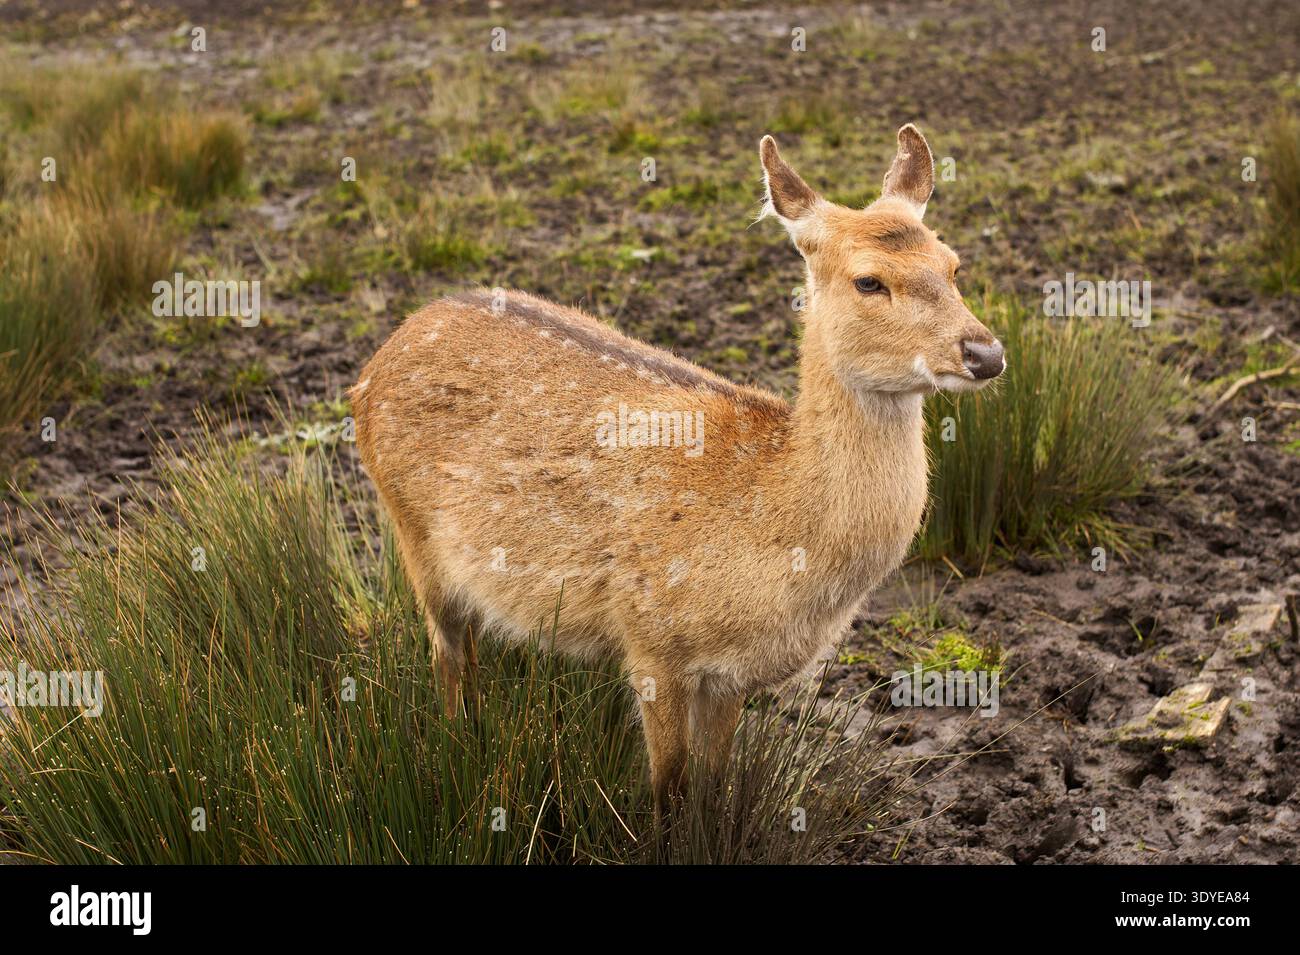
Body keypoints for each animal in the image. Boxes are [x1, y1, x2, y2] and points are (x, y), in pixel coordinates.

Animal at [350, 124, 1004, 814]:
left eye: (953, 265)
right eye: (869, 281)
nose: (986, 354)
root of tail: (377, 358)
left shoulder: (730, 677)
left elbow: (712, 792)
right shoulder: (649, 637)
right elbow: (667, 792)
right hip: (411, 532)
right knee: (446, 657)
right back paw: (456, 753)